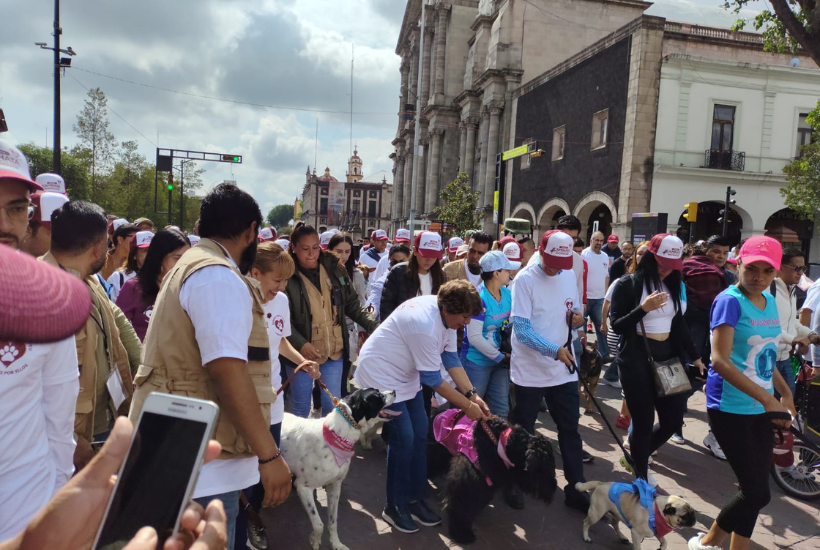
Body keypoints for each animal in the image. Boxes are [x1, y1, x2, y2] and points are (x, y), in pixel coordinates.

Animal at [280, 388, 398, 550]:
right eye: (378, 395)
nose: (394, 391)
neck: (336, 436)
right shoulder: (303, 487)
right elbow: (319, 524)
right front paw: (315, 540)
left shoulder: (335, 486)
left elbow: (333, 521)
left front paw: (336, 544)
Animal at [430, 416, 556, 544]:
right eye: (544, 468)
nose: (552, 488)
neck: (501, 444)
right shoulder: (468, 481)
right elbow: (462, 503)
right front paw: (461, 533)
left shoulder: (487, 482)